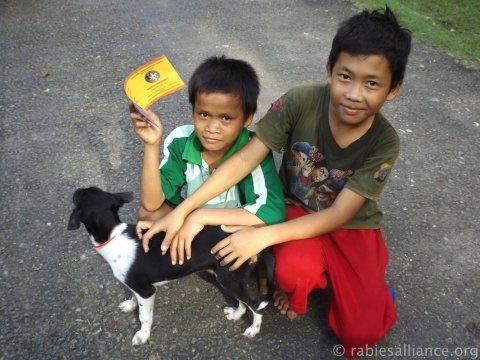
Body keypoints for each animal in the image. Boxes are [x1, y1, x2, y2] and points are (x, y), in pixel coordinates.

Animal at [67, 187, 274, 344]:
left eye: (80, 194)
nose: (75, 190)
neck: (112, 234)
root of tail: (246, 236)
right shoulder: (135, 286)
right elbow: (133, 297)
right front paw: (129, 305)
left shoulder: (146, 291)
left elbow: (144, 317)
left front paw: (143, 335)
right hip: (230, 278)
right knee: (244, 303)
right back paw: (236, 314)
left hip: (229, 279)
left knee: (255, 305)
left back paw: (253, 329)